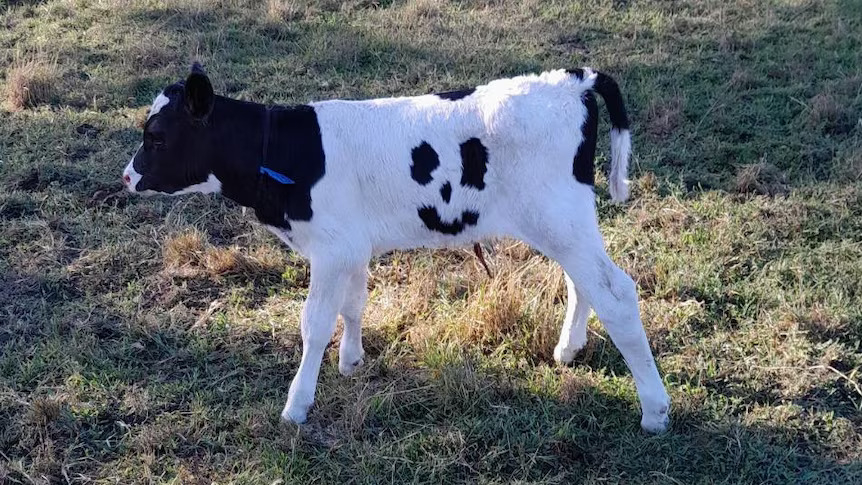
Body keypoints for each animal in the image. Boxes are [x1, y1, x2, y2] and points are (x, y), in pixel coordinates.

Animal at [123, 63, 676, 432]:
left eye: (157, 136)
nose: (127, 177)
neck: (284, 152)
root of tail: (573, 78)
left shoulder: (331, 248)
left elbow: (313, 324)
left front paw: (297, 405)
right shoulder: (351, 244)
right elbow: (353, 303)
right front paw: (350, 361)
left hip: (558, 217)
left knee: (617, 292)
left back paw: (655, 409)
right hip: (563, 222)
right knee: (585, 281)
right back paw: (568, 349)